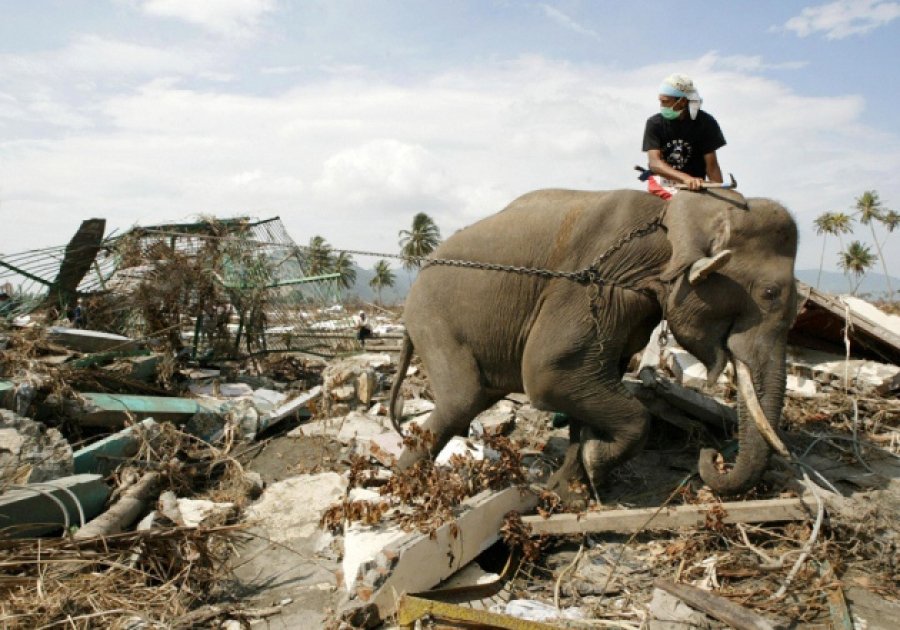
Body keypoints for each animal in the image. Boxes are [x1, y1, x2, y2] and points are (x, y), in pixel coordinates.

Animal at [390, 188, 800, 504]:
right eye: (769, 294)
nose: (712, 454)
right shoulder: (596, 282)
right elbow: (549, 374)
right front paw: (595, 459)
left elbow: (589, 379)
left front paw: (571, 489)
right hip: (432, 319)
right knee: (462, 399)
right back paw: (403, 488)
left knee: (472, 399)